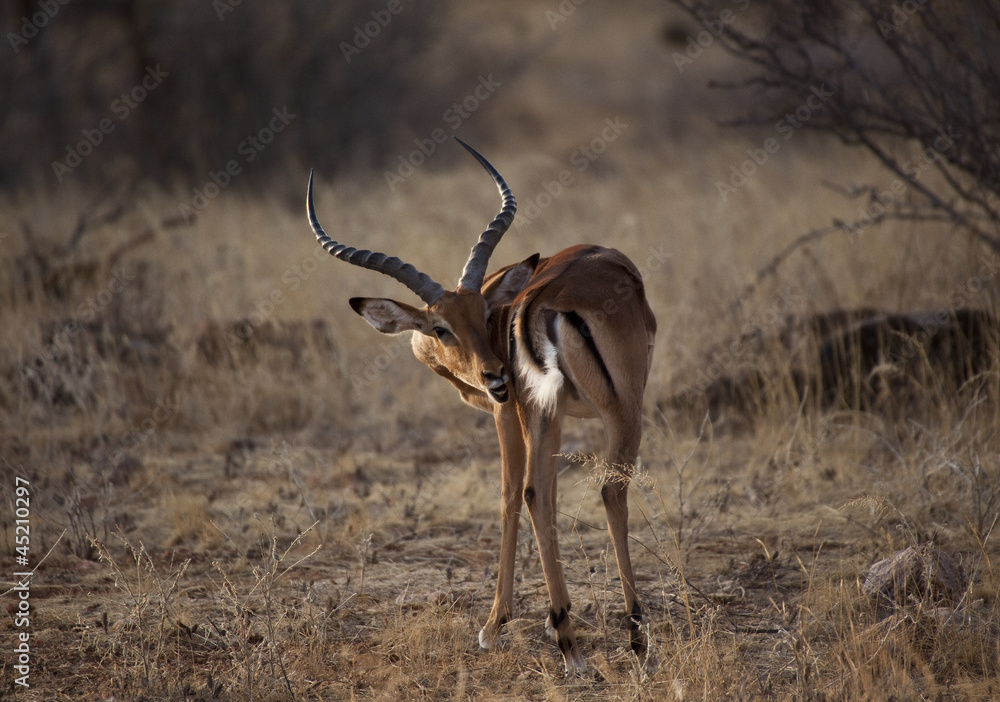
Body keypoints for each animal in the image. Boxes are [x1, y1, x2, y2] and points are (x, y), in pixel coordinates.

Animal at [307, 139, 656, 674]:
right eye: (440, 327)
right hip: (611, 411)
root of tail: (546, 296)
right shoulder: (517, 411)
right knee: (591, 491)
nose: (495, 374)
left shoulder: (518, 409)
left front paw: (507, 624)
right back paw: (607, 641)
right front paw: (504, 625)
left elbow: (520, 493)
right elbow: (518, 493)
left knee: (544, 493)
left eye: (482, 312)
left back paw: (580, 637)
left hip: (561, 409)